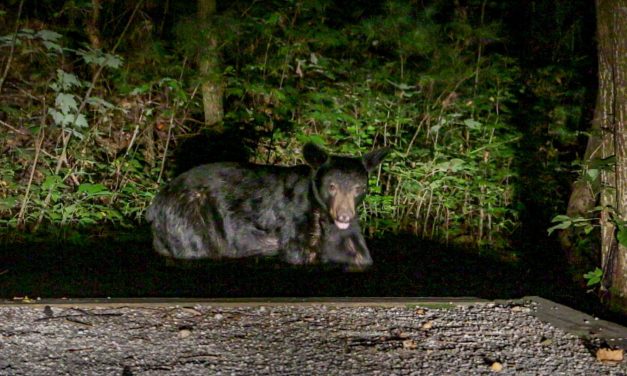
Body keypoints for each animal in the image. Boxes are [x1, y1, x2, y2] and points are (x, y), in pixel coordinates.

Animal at [147, 142, 390, 268]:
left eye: (359, 188)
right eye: (332, 186)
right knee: (195, 246)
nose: (344, 216)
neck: (322, 213)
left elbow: (359, 255)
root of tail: (155, 204)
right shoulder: (297, 221)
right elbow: (298, 253)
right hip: (188, 215)